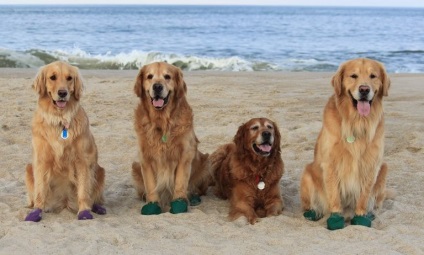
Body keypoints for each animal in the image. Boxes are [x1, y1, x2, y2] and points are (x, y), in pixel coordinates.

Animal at [24, 61, 106, 221]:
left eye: (69, 78)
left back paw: (97, 207)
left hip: (100, 171)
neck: (60, 119)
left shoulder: (83, 161)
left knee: (94, 196)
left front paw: (84, 212)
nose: (63, 93)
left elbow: (84, 190)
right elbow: (40, 190)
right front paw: (37, 211)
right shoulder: (41, 160)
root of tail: (64, 202)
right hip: (28, 169)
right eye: (52, 77)